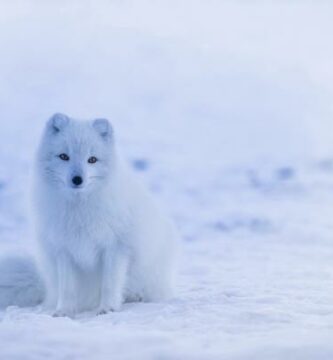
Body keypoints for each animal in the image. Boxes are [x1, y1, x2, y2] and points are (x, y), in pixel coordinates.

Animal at [0, 114, 179, 316]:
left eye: (92, 159)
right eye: (64, 156)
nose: (77, 179)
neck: (79, 209)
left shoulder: (115, 247)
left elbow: (110, 284)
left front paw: (108, 308)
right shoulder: (64, 249)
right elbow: (67, 288)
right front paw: (64, 312)